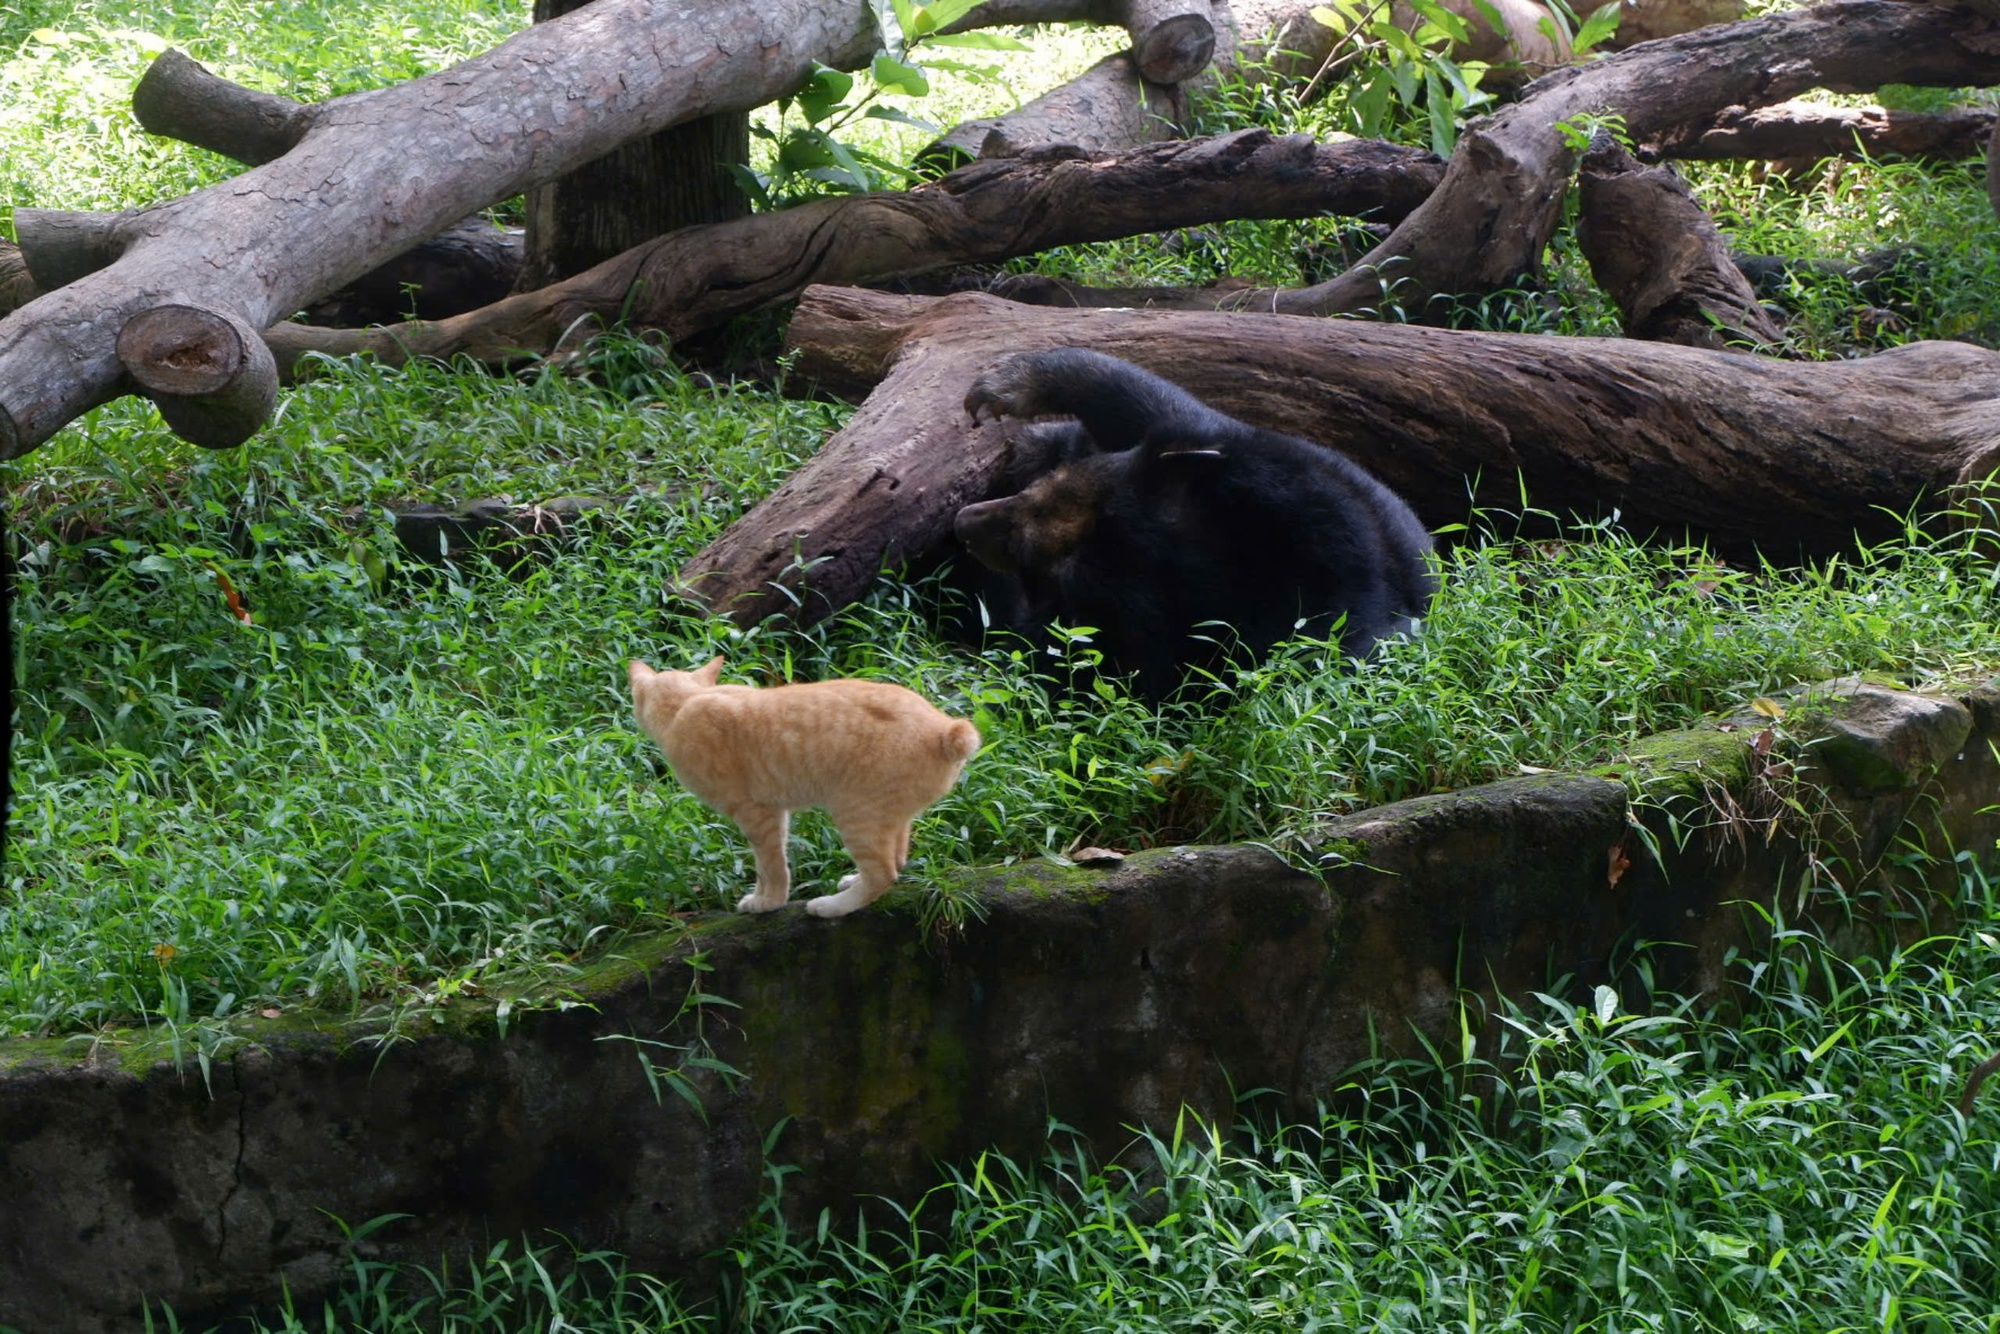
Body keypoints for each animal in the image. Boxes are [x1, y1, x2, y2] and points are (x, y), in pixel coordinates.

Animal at [628, 656, 980, 920]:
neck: (685, 704)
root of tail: (946, 729)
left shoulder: (755, 814)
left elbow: (771, 865)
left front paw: (768, 902)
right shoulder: (775, 812)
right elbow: (767, 864)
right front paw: (762, 896)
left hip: (855, 813)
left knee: (883, 872)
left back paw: (831, 906)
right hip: (890, 817)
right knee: (896, 859)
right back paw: (852, 880)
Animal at [952, 348, 1440, 700]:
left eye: (1028, 556)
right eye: (1043, 489)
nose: (964, 522)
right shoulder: (1287, 472)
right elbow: (1151, 405)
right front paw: (1001, 385)